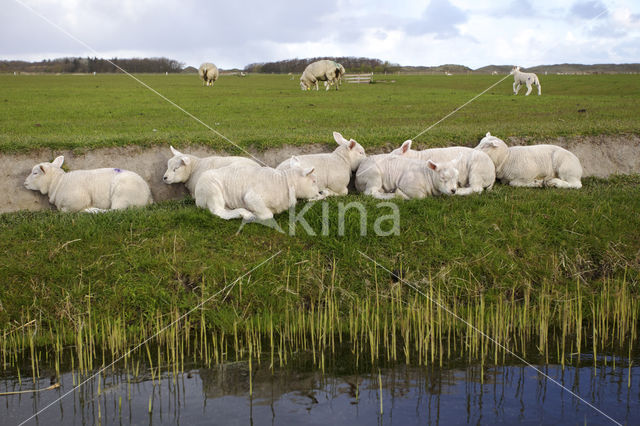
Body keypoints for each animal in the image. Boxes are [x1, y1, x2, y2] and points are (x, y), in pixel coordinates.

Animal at [22, 156, 154, 212]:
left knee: (116, 211)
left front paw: (86, 209)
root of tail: (148, 195)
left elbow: (64, 211)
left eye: (35, 173)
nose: (24, 183)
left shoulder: (78, 201)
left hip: (122, 194)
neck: (58, 182)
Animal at [194, 157, 322, 223]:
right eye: (314, 181)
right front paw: (255, 215)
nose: (319, 192)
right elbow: (268, 215)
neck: (283, 183)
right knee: (217, 211)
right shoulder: (251, 198)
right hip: (212, 190)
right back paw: (245, 214)